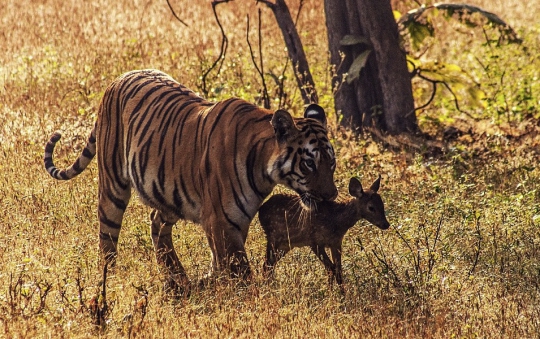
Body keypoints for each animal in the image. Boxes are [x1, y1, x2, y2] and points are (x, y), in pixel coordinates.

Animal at [44, 69, 336, 294]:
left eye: (331, 163)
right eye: (309, 163)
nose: (331, 196)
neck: (264, 168)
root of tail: (117, 79)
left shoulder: (234, 222)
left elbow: (222, 262)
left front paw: (210, 283)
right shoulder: (221, 221)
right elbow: (239, 270)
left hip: (168, 193)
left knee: (156, 223)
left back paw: (177, 279)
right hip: (113, 186)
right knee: (107, 237)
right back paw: (111, 280)